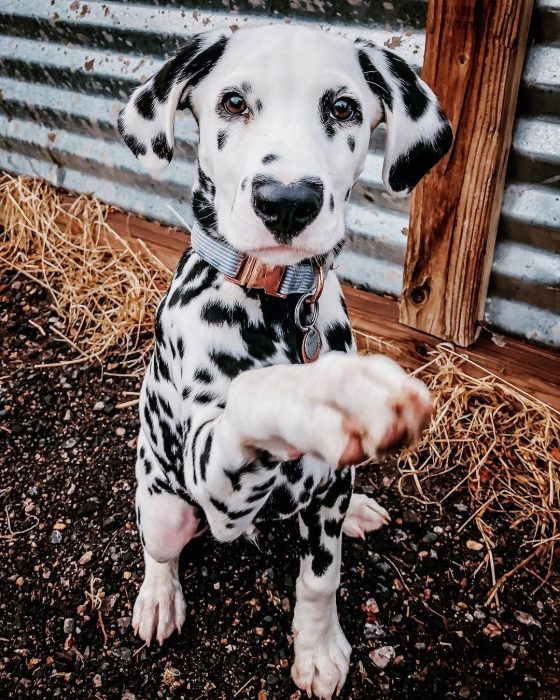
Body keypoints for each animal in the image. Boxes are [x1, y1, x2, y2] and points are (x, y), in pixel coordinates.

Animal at [117, 24, 450, 696]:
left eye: (343, 107)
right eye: (233, 103)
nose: (288, 201)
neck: (278, 301)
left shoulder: (323, 509)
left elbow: (321, 578)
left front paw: (318, 650)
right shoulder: (214, 468)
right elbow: (254, 397)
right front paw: (324, 394)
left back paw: (359, 510)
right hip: (163, 505)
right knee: (160, 549)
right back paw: (158, 597)